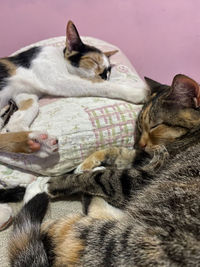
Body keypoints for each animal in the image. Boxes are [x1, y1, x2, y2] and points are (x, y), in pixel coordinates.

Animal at [7, 74, 200, 267]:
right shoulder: (140, 157)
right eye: (139, 127)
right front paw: (86, 164)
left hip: (96, 235)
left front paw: (58, 182)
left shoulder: (136, 179)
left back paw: (37, 189)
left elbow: (102, 177)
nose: (139, 144)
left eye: (155, 126)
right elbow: (115, 151)